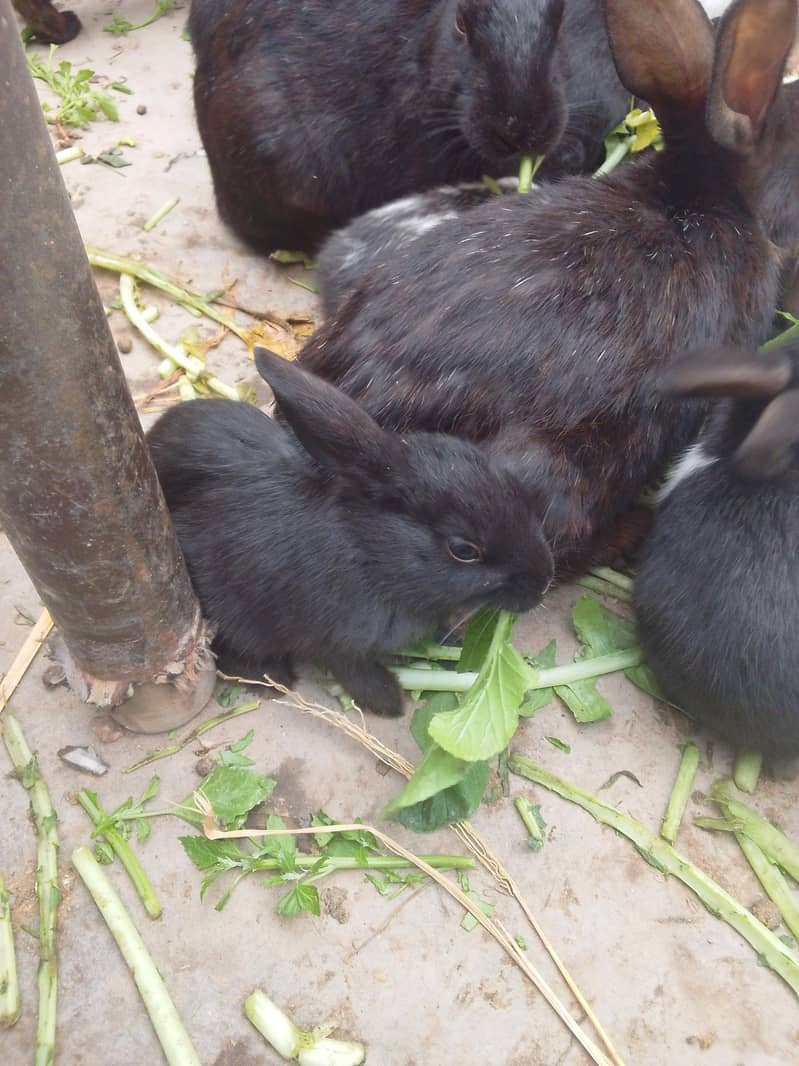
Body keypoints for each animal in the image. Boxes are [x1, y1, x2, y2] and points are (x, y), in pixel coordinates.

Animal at [146, 347, 554, 717]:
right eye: (464, 550)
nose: (543, 582)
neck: (370, 550)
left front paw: (451, 651)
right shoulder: (340, 640)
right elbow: (355, 672)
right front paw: (390, 702)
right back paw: (274, 678)